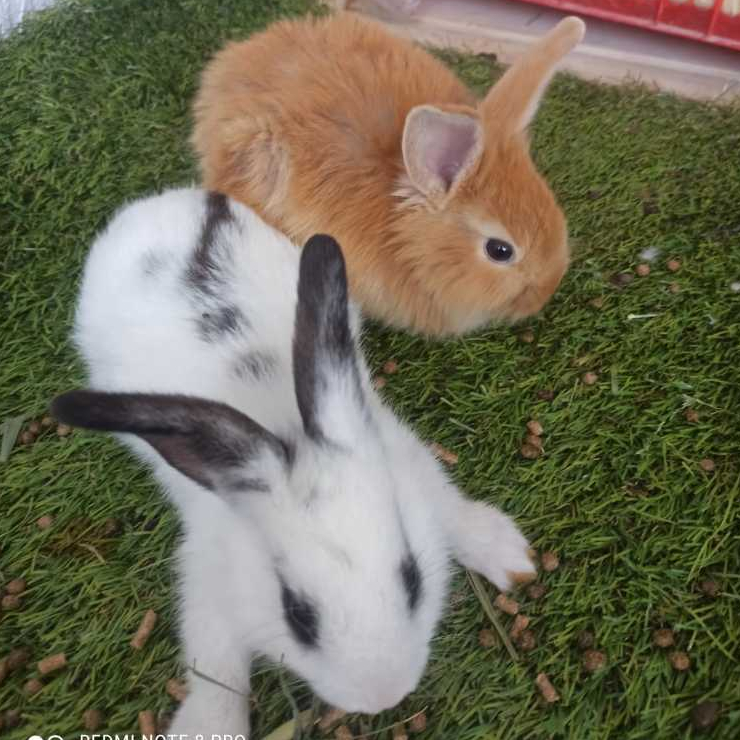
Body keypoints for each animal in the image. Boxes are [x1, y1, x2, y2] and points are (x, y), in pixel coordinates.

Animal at [52, 188, 536, 734]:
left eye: (412, 578)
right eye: (297, 614)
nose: (382, 697)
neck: (282, 427)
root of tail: (176, 201)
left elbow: (450, 506)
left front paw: (510, 558)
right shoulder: (209, 580)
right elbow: (215, 670)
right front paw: (208, 726)